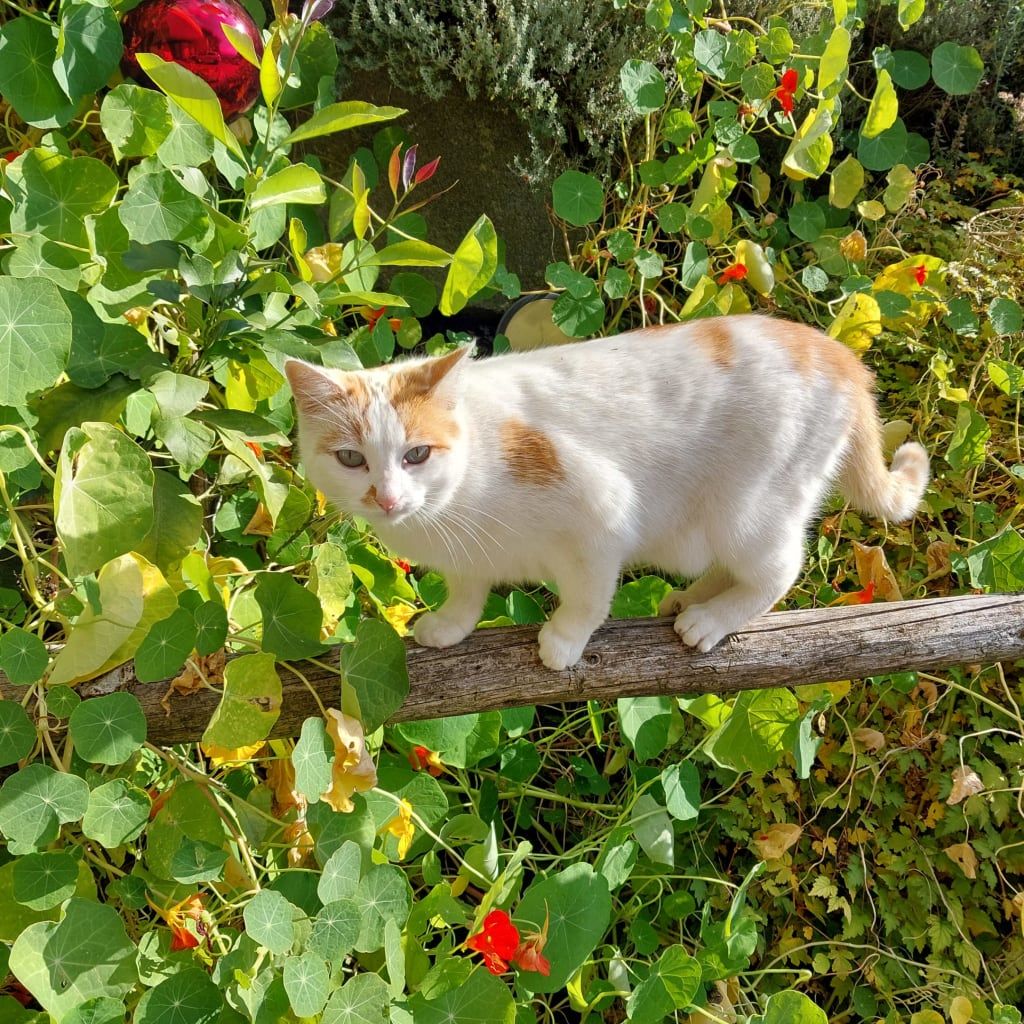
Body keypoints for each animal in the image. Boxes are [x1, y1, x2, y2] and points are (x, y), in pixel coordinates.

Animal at [285, 314, 929, 671]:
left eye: (416, 454)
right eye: (351, 459)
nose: (386, 499)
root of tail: (840, 356)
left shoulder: (602, 512)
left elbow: (588, 597)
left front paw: (564, 640)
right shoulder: (468, 556)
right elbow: (468, 591)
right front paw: (450, 626)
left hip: (747, 509)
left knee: (778, 570)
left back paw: (711, 619)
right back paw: (688, 601)